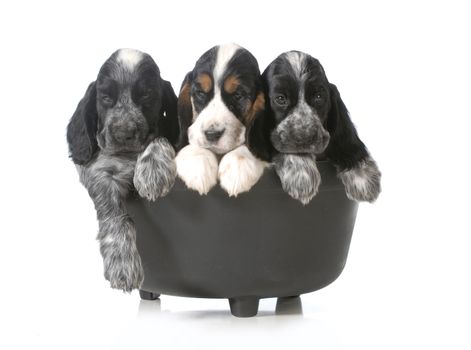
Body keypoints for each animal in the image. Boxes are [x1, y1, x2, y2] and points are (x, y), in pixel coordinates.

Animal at [65, 47, 178, 292]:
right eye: (106, 97)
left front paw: (152, 172)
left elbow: (160, 138)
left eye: (146, 95)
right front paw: (123, 264)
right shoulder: (98, 173)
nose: (123, 132)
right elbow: (116, 216)